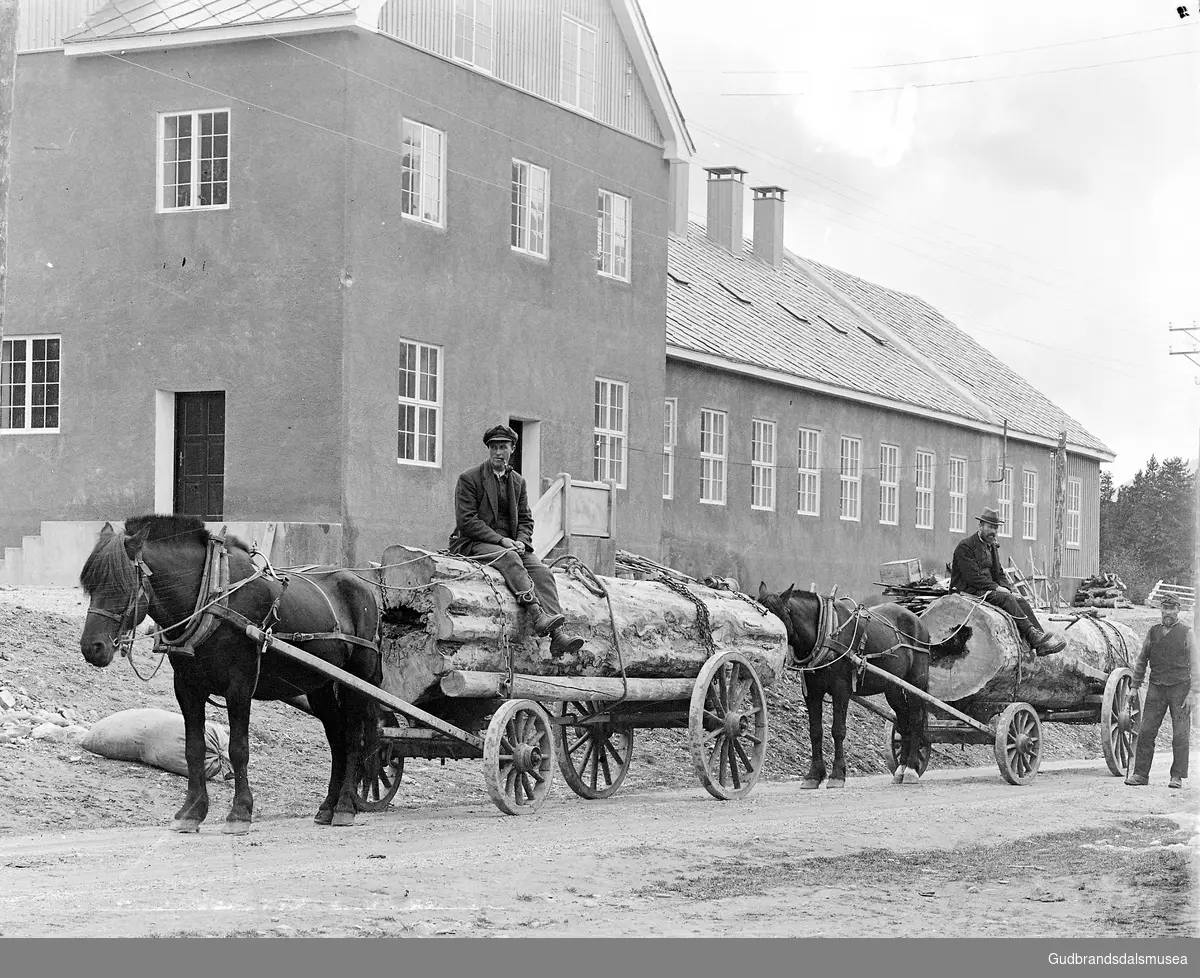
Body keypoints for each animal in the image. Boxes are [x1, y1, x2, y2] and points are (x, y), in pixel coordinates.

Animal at [81, 520, 379, 835]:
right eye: (90, 585)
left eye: (121, 583)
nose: (92, 647)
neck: (213, 592)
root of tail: (364, 586)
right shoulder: (187, 687)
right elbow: (194, 748)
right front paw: (191, 811)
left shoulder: (240, 687)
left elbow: (238, 749)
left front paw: (240, 812)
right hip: (320, 685)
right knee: (337, 739)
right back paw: (327, 807)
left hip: (357, 680)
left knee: (352, 737)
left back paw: (345, 806)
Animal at [758, 585, 964, 792]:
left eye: (778, 614)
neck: (825, 631)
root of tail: (918, 621)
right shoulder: (812, 693)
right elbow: (815, 731)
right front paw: (813, 775)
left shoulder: (841, 690)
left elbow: (838, 730)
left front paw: (837, 775)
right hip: (893, 687)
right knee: (903, 722)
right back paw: (901, 769)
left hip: (915, 682)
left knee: (915, 719)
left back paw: (912, 769)